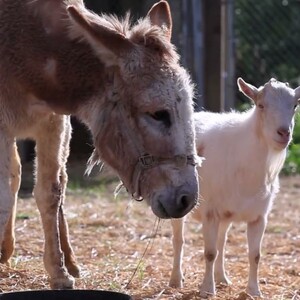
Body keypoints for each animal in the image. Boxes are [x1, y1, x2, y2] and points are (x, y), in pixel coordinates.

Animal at [170, 78, 298, 298]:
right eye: (261, 105)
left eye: (295, 106)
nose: (284, 133)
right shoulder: (211, 212)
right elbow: (209, 252)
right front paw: (207, 290)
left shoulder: (258, 217)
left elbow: (255, 255)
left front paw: (254, 291)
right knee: (179, 239)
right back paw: (176, 280)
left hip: (227, 213)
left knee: (222, 241)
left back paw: (222, 278)